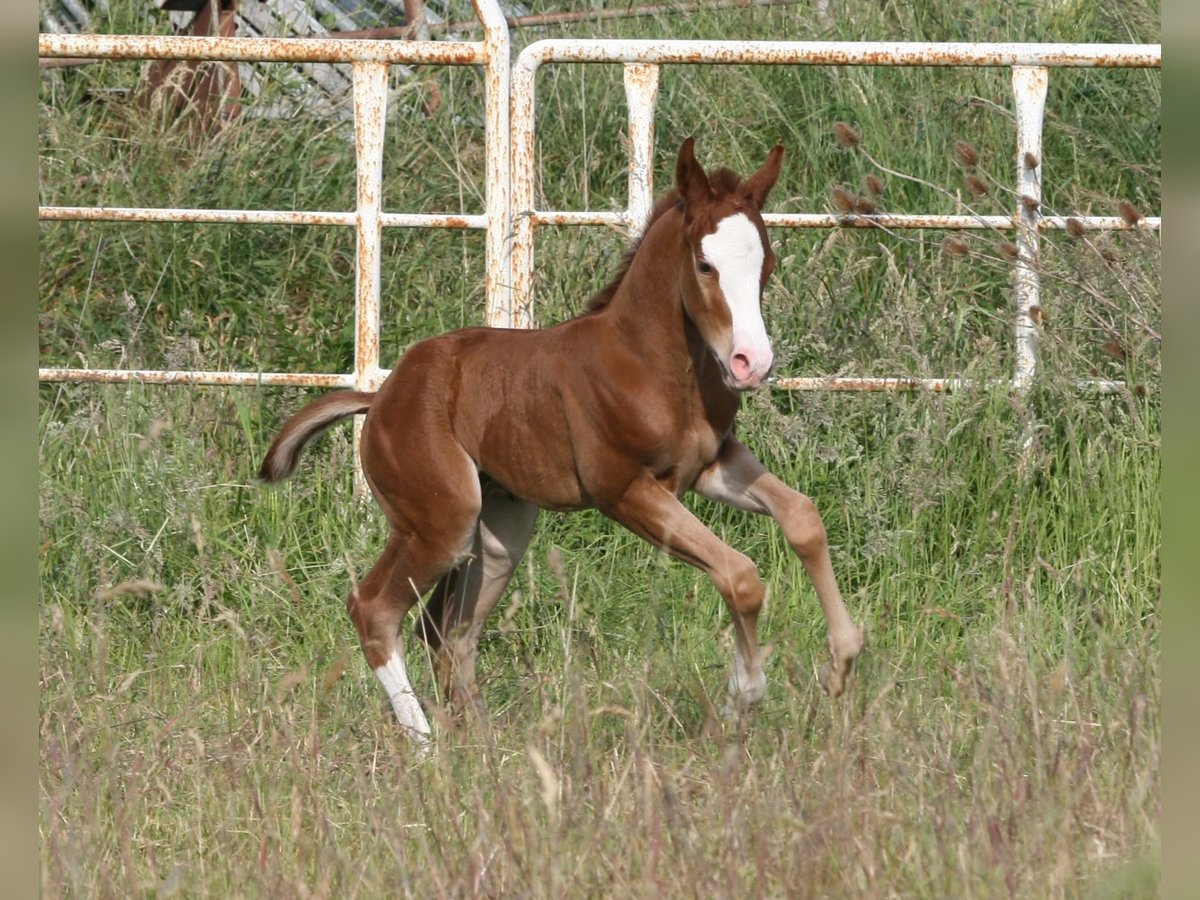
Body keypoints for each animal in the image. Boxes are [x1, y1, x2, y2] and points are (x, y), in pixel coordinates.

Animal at [259, 138, 864, 745]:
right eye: (705, 265)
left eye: (767, 262)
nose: (751, 363)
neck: (657, 365)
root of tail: (380, 396)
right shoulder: (624, 490)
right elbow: (740, 575)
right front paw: (744, 695)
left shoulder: (711, 466)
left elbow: (803, 517)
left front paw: (840, 664)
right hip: (441, 520)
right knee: (375, 609)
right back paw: (428, 747)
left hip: (499, 532)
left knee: (447, 630)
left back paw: (484, 748)